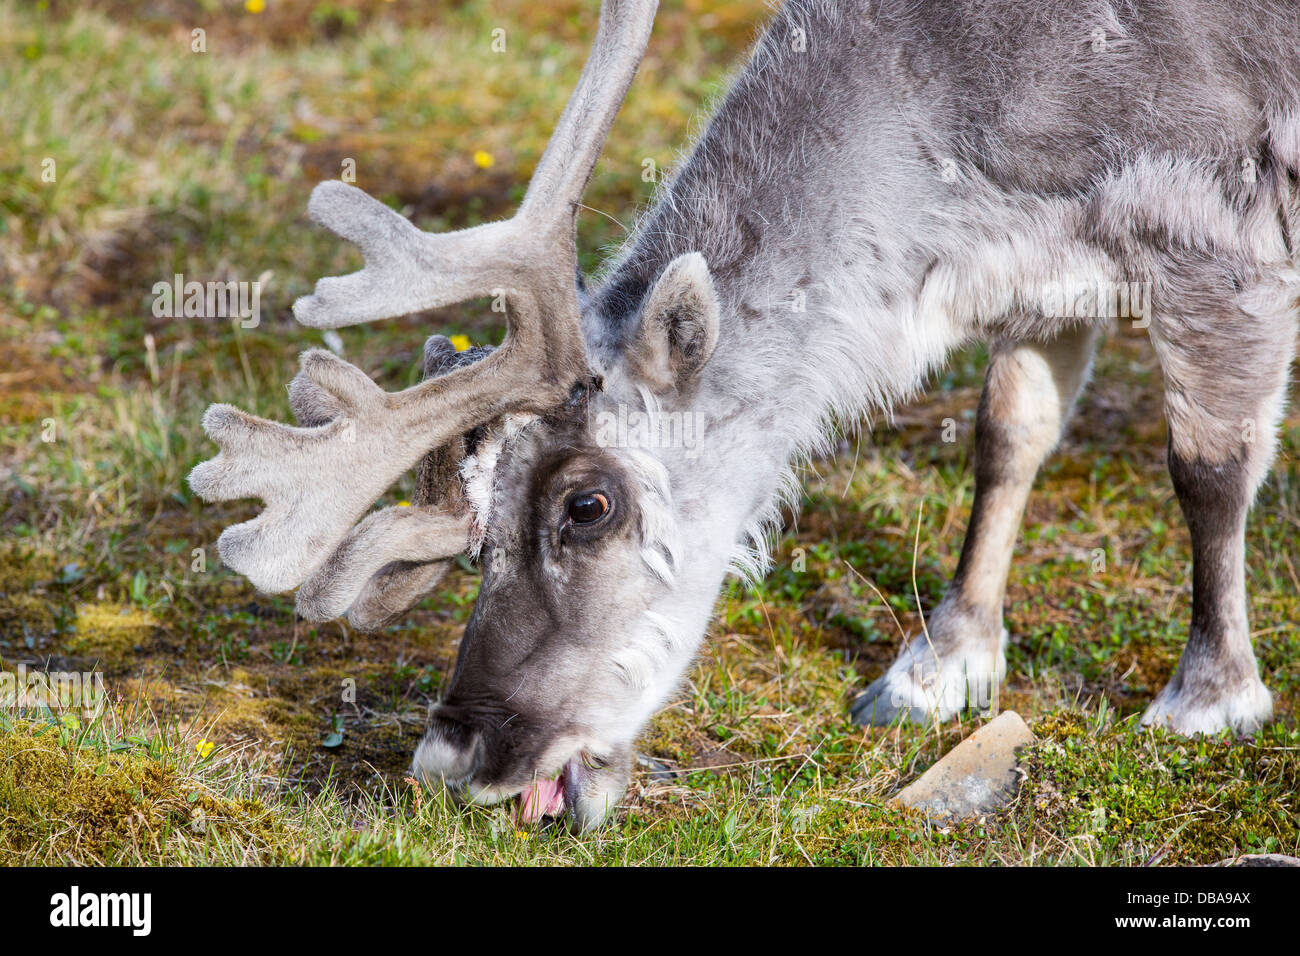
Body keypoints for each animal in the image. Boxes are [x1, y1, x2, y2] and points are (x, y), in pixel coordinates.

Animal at [189, 0, 1300, 830]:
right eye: (475, 534)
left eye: (588, 505)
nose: (450, 754)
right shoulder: (1039, 271)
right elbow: (1007, 438)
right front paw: (941, 663)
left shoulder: (1220, 242)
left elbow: (1208, 467)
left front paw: (1211, 695)